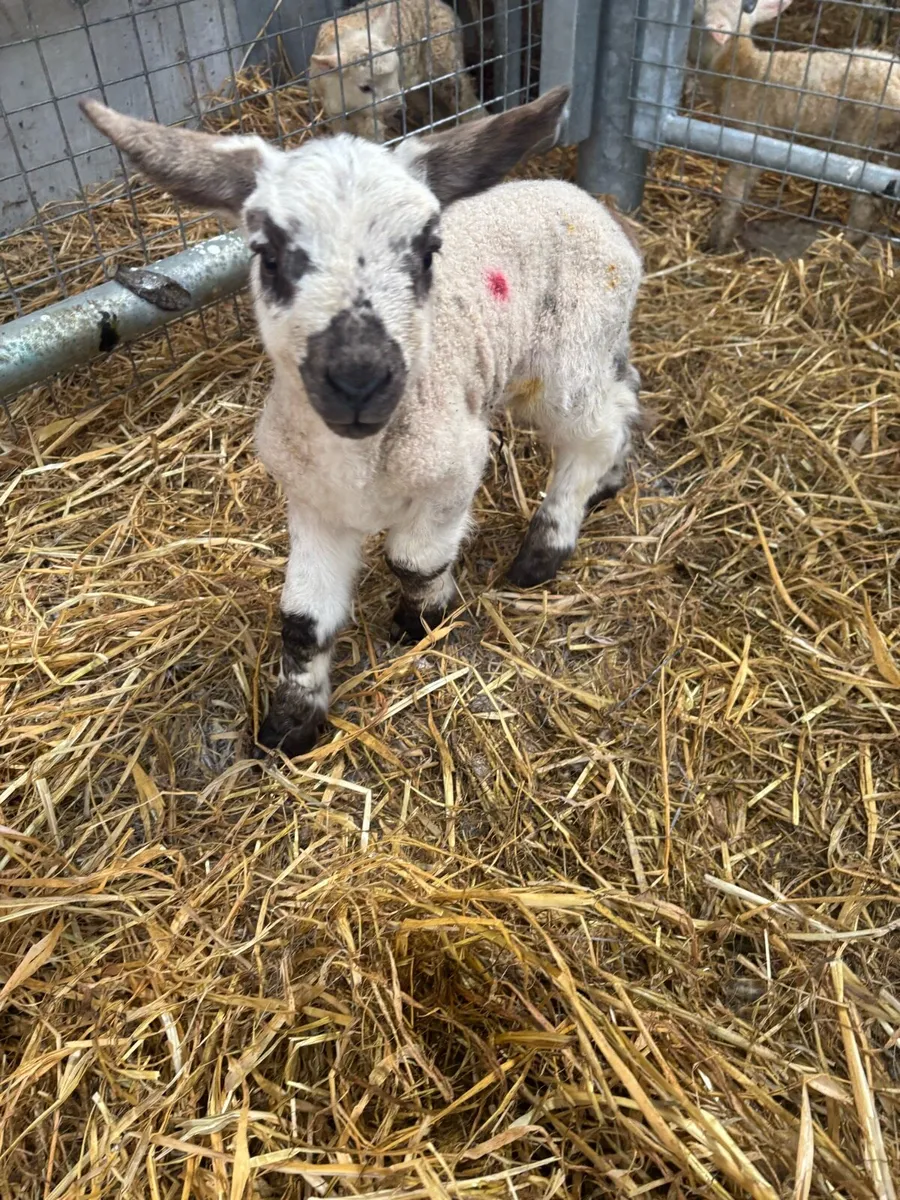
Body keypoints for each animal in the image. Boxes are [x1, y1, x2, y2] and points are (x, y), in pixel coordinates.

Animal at [80, 88, 643, 758]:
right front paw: (288, 726)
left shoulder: (453, 467)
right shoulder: (312, 501)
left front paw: (423, 621)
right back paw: (609, 483)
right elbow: (302, 621)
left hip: (569, 354)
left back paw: (547, 544)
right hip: (591, 347)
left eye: (428, 249)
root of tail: (580, 198)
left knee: (594, 430)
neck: (359, 461)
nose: (358, 378)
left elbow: (415, 562)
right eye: (268, 254)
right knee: (625, 393)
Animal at [309, 0, 483, 142]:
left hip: (444, 55)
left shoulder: (373, 119)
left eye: (395, 70)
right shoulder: (334, 110)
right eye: (365, 87)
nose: (396, 106)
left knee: (463, 95)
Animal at [697, 0, 900, 251]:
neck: (742, 67)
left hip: (862, 140)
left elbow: (732, 189)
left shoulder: (749, 136)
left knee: (865, 200)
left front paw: (718, 239)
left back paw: (848, 244)